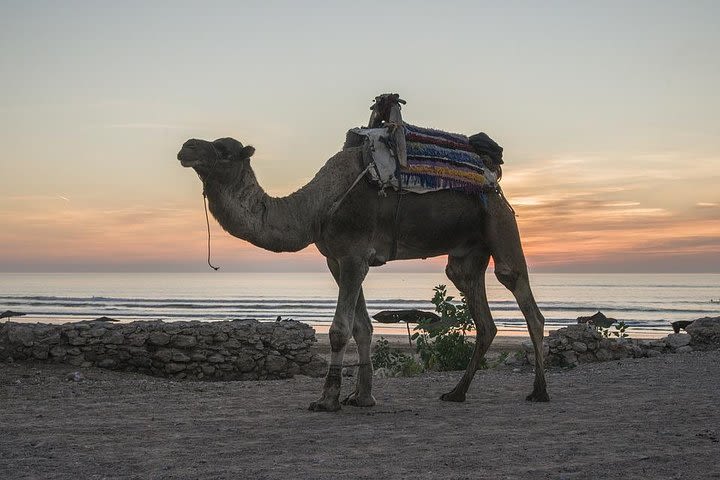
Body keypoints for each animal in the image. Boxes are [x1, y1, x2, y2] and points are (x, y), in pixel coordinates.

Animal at [177, 128, 548, 412]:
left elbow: (340, 330)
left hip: (499, 221)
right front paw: (362, 397)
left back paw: (539, 391)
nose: (186, 146)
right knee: (481, 314)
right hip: (467, 253)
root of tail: (493, 179)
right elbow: (363, 328)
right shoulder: (337, 259)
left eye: (224, 151)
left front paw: (327, 400)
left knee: (521, 293)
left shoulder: (354, 255)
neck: (317, 207)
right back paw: (456, 393)